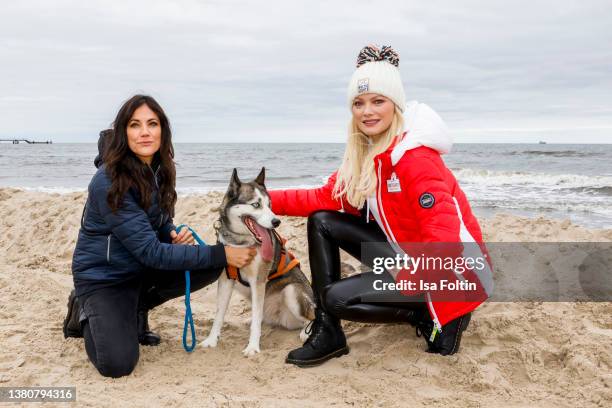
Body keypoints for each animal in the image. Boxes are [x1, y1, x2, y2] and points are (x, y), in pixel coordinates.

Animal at [202, 167, 316, 356]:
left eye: (270, 206)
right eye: (256, 205)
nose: (276, 222)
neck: (240, 242)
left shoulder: (258, 281)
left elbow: (256, 321)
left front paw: (252, 347)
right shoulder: (226, 279)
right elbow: (219, 314)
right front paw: (212, 340)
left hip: (292, 291)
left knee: (312, 315)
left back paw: (305, 333)